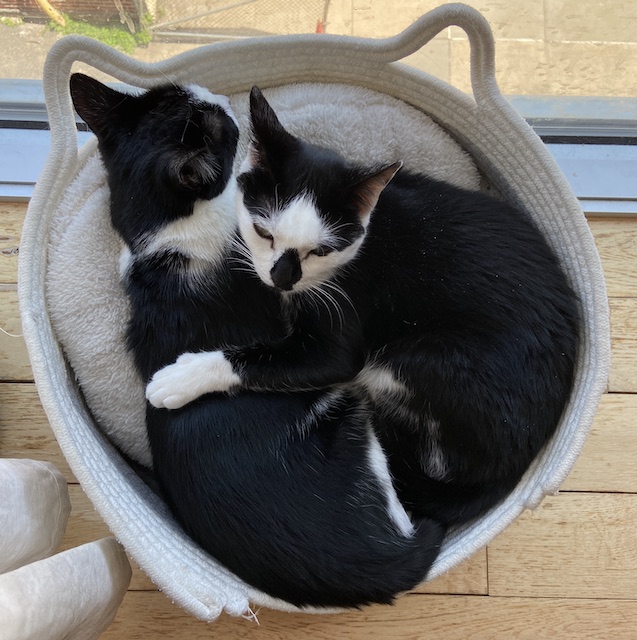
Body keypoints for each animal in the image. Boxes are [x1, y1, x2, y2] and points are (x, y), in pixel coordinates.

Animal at [148, 85, 580, 524]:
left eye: (321, 250)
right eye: (264, 232)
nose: (282, 278)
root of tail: (519, 462)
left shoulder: (344, 318)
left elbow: (280, 360)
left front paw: (181, 377)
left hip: (420, 360)